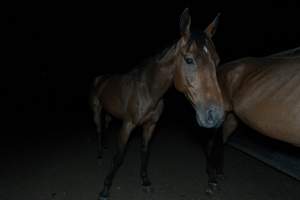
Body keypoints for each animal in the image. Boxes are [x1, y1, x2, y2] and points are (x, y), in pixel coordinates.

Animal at [90, 8, 224, 200]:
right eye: (189, 59)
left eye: (217, 60)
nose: (216, 115)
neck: (148, 91)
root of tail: (100, 78)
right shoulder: (128, 124)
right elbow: (119, 156)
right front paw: (105, 188)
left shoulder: (150, 125)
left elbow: (145, 152)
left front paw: (145, 182)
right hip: (96, 111)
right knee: (99, 129)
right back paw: (100, 154)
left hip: (109, 112)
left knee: (106, 126)